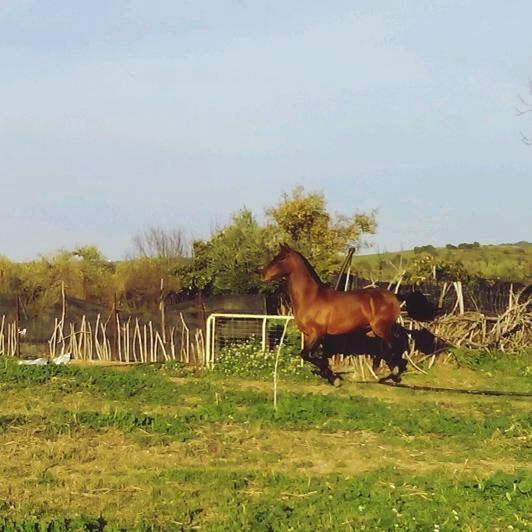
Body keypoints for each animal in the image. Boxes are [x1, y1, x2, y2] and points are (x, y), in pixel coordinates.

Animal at [262, 245, 408, 386]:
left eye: (280, 259)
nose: (262, 274)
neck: (311, 298)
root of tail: (393, 297)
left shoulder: (317, 333)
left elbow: (306, 354)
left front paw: (334, 378)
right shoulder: (309, 335)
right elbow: (308, 355)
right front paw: (330, 376)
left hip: (381, 328)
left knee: (394, 344)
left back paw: (385, 368)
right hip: (375, 331)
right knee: (393, 346)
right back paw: (395, 374)